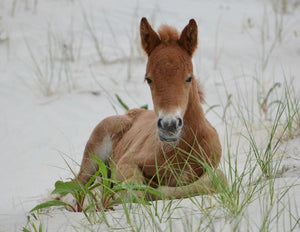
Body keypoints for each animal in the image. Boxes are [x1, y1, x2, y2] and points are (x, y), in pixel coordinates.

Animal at [76, 17, 226, 199]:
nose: (169, 125)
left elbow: (218, 180)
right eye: (148, 79)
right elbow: (133, 190)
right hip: (94, 152)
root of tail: (133, 112)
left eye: (189, 78)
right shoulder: (127, 161)